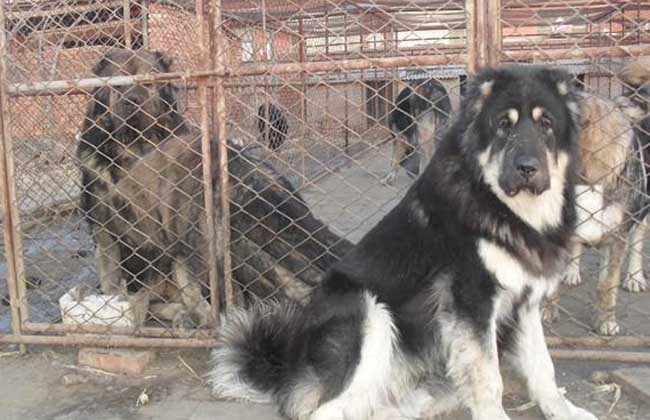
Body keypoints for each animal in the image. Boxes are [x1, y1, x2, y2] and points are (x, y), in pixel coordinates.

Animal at [78, 49, 352, 328]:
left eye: (149, 81)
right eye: (116, 83)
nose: (131, 99)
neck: (133, 153)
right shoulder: (106, 231)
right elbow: (117, 285)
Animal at [209, 65, 596, 420]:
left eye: (546, 124)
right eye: (503, 124)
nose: (527, 168)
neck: (507, 208)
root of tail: (290, 372)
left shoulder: (526, 302)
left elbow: (543, 368)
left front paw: (567, 411)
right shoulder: (472, 302)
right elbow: (489, 379)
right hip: (370, 313)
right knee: (326, 410)